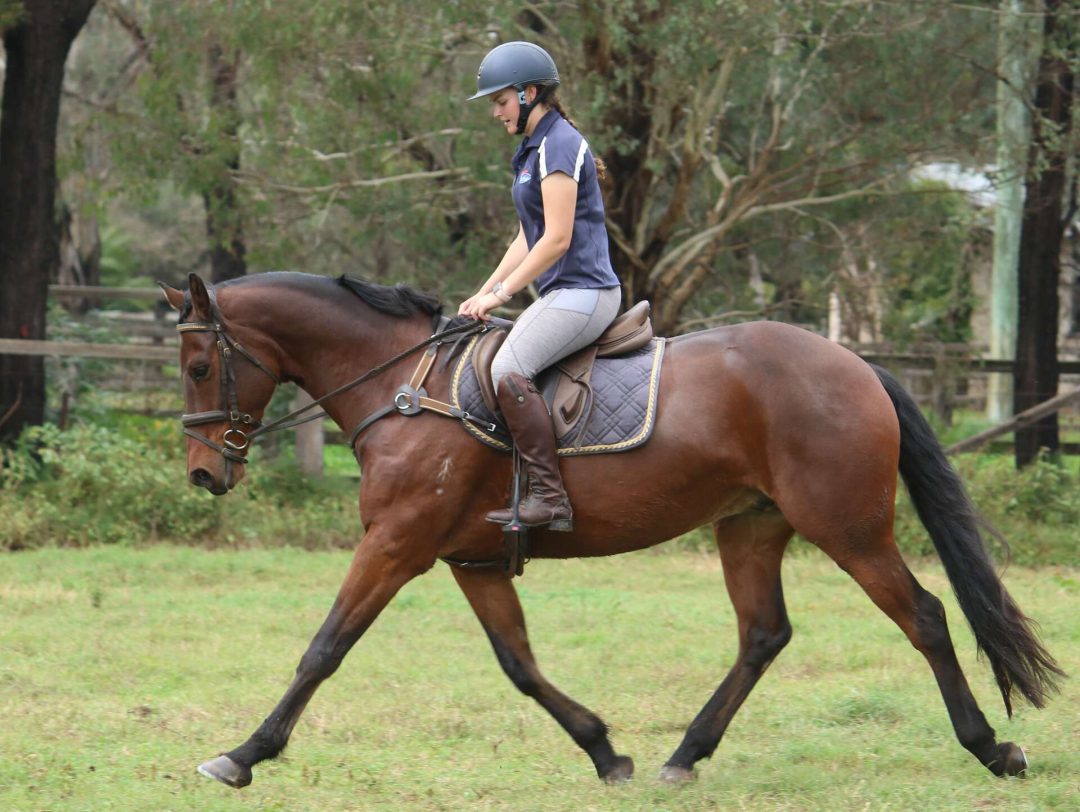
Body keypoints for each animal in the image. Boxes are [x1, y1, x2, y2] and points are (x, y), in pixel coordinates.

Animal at [159, 271, 1062, 786]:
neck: (406, 388)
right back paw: (683, 756)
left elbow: (324, 649)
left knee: (926, 618)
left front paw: (242, 756)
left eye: (201, 366)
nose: (205, 474)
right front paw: (604, 750)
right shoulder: (472, 560)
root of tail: (857, 364)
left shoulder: (397, 544)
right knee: (763, 634)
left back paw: (992, 749)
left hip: (849, 529)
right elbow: (520, 666)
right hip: (751, 528)